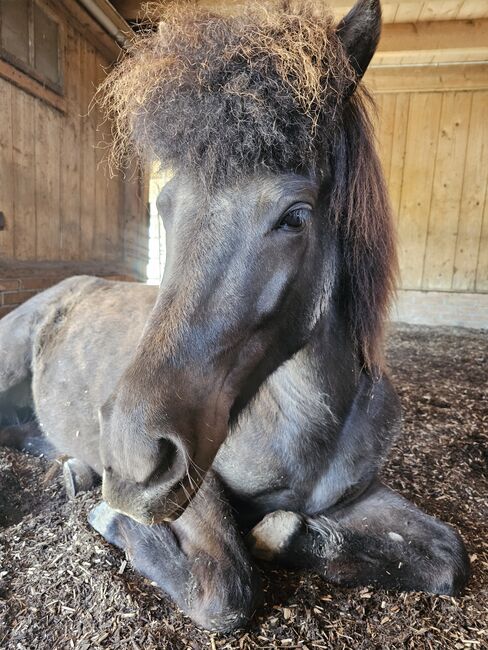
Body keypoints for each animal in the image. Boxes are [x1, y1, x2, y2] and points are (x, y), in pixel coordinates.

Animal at [0, 0, 468, 632]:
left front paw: (291, 536)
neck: (314, 426)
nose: (130, 457)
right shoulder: (196, 480)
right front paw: (110, 517)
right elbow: (224, 588)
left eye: (296, 216)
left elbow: (448, 557)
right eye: (165, 205)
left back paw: (73, 468)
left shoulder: (360, 494)